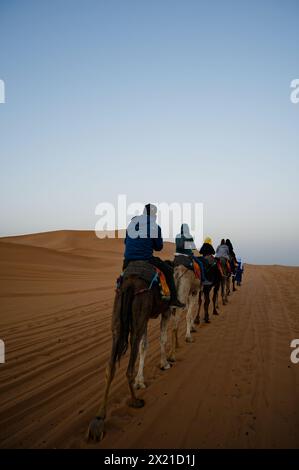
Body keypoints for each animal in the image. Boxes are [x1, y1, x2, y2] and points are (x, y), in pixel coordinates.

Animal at [87, 268, 171, 440]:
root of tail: (129, 285)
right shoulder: (166, 310)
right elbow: (162, 337)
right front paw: (165, 364)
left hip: (117, 321)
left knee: (110, 366)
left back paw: (99, 418)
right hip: (139, 316)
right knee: (129, 365)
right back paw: (135, 401)